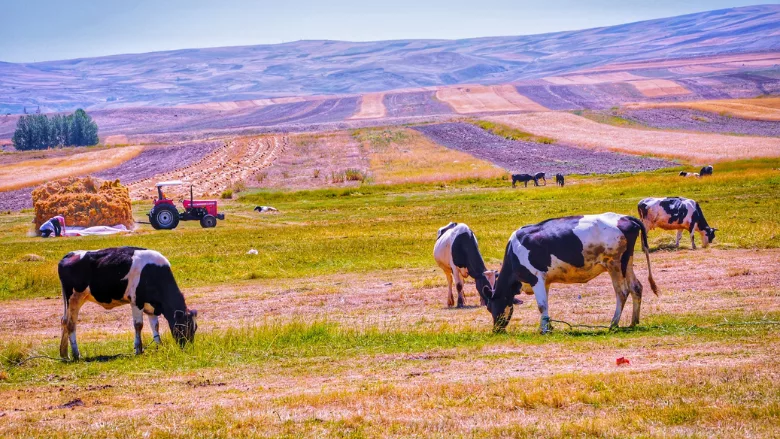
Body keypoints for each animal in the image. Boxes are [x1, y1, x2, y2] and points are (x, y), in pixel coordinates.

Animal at [57, 247, 198, 360]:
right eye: (183, 326)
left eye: (195, 327)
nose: (187, 347)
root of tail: (70, 254)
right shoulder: (136, 301)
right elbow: (138, 325)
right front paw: (138, 350)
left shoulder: (151, 306)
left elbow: (155, 326)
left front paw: (159, 346)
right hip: (74, 297)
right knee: (70, 324)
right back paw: (76, 355)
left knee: (64, 321)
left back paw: (64, 354)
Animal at [481, 213, 658, 334]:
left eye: (491, 307)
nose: (496, 330)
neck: (514, 251)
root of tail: (625, 217)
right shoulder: (545, 281)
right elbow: (546, 305)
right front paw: (548, 326)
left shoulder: (536, 278)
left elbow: (541, 305)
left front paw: (544, 330)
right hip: (626, 264)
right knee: (636, 287)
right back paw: (633, 322)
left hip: (614, 264)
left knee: (622, 292)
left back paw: (613, 323)